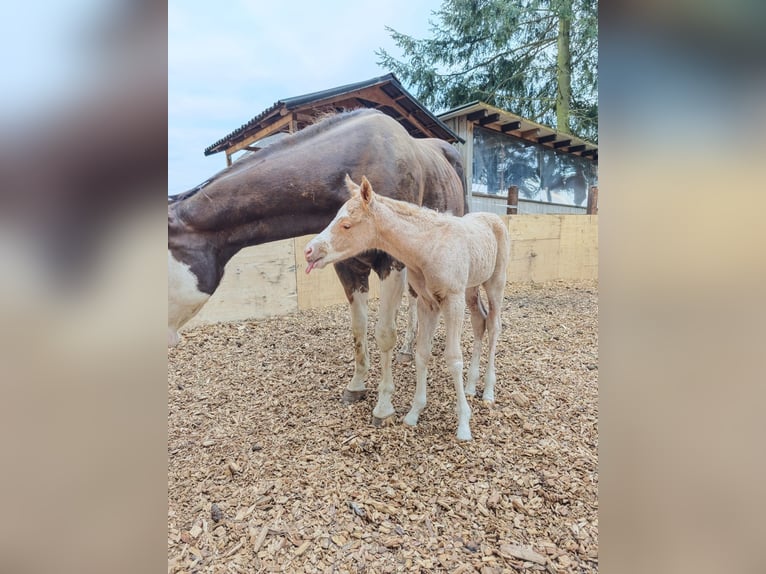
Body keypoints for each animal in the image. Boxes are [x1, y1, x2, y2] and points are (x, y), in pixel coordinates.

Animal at [169, 109, 466, 420]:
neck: (362, 158)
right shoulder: (347, 267)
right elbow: (359, 329)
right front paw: (357, 385)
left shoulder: (391, 264)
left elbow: (384, 333)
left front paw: (384, 405)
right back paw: (409, 348)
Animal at [305, 175, 510, 441]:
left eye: (347, 225)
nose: (309, 251)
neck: (428, 248)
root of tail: (495, 218)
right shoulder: (427, 302)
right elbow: (422, 353)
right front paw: (414, 414)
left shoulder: (452, 299)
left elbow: (453, 358)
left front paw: (464, 425)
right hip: (471, 288)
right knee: (480, 321)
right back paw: (471, 386)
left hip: (495, 282)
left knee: (494, 326)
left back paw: (488, 392)